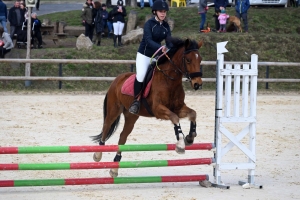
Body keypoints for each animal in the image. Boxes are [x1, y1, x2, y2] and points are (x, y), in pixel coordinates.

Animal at [91, 36, 203, 177]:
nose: (198, 84)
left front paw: (190, 137)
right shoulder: (158, 110)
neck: (170, 81)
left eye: (200, 59)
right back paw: (97, 155)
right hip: (114, 110)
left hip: (131, 116)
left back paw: (114, 168)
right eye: (188, 60)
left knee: (122, 137)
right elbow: (175, 118)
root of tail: (117, 79)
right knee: (106, 128)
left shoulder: (178, 108)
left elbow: (193, 114)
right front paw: (180, 144)